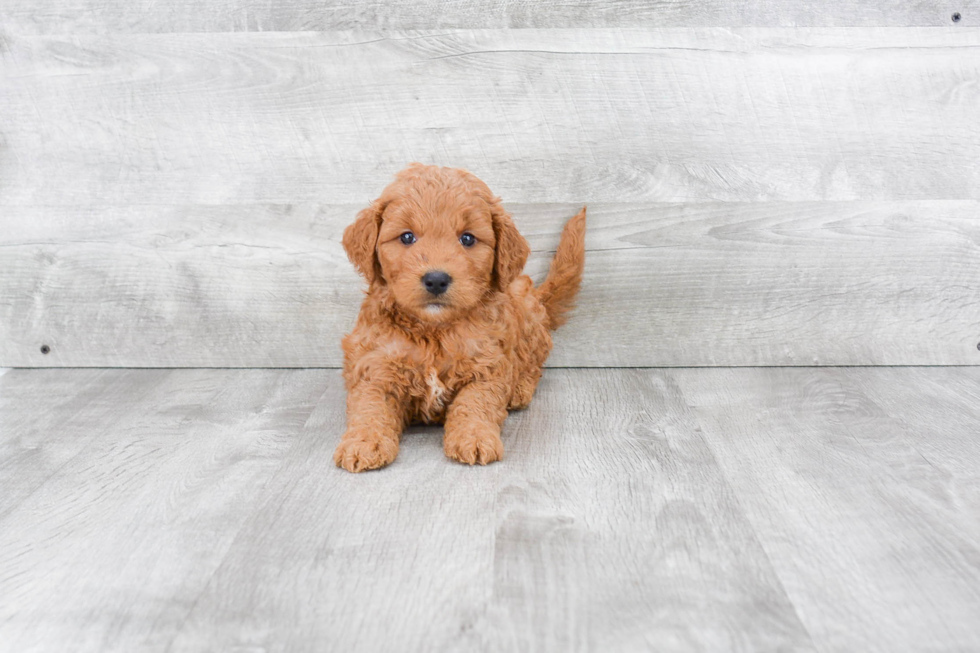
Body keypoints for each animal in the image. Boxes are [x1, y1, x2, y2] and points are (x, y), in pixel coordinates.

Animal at [334, 161, 584, 472]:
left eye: (467, 238)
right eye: (407, 237)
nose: (436, 279)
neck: (433, 330)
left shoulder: (488, 364)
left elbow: (475, 403)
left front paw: (474, 438)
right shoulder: (374, 366)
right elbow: (369, 407)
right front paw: (363, 443)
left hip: (525, 313)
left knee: (534, 362)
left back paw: (519, 390)